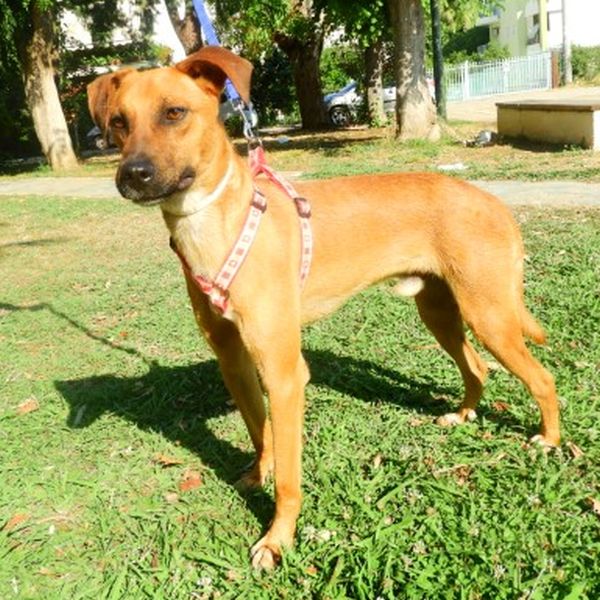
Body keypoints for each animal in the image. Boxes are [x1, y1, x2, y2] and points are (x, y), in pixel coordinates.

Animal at [87, 46, 560, 569]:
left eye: (174, 112)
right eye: (118, 121)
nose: (132, 176)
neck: (219, 224)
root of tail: (495, 202)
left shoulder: (285, 373)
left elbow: (290, 477)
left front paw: (278, 538)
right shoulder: (234, 360)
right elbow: (260, 432)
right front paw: (259, 473)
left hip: (489, 314)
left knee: (543, 378)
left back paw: (549, 440)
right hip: (440, 311)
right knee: (476, 366)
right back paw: (463, 414)